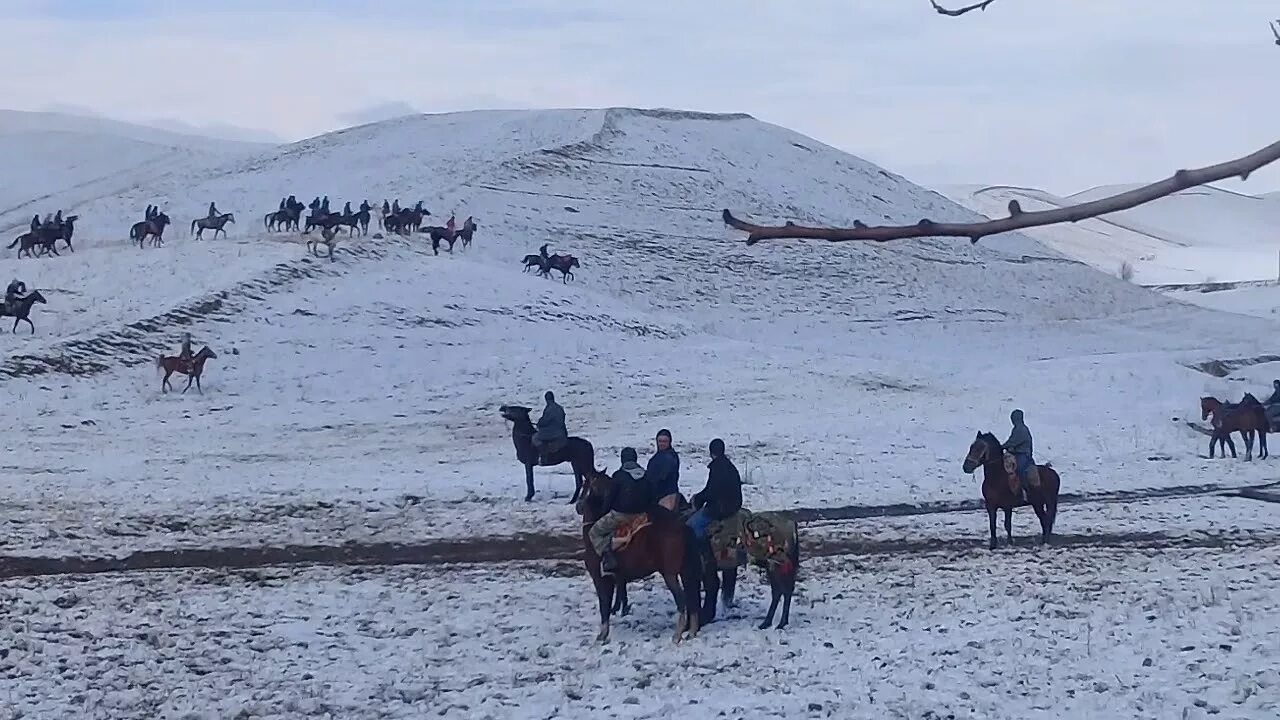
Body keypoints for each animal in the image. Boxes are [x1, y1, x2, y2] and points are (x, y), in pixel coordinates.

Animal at [578, 466, 706, 645]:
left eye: (585, 486)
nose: (578, 506)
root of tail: (684, 527)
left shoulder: (600, 579)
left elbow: (604, 607)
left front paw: (602, 635)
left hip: (670, 574)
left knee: (682, 600)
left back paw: (677, 634)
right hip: (686, 572)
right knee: (692, 598)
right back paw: (692, 632)